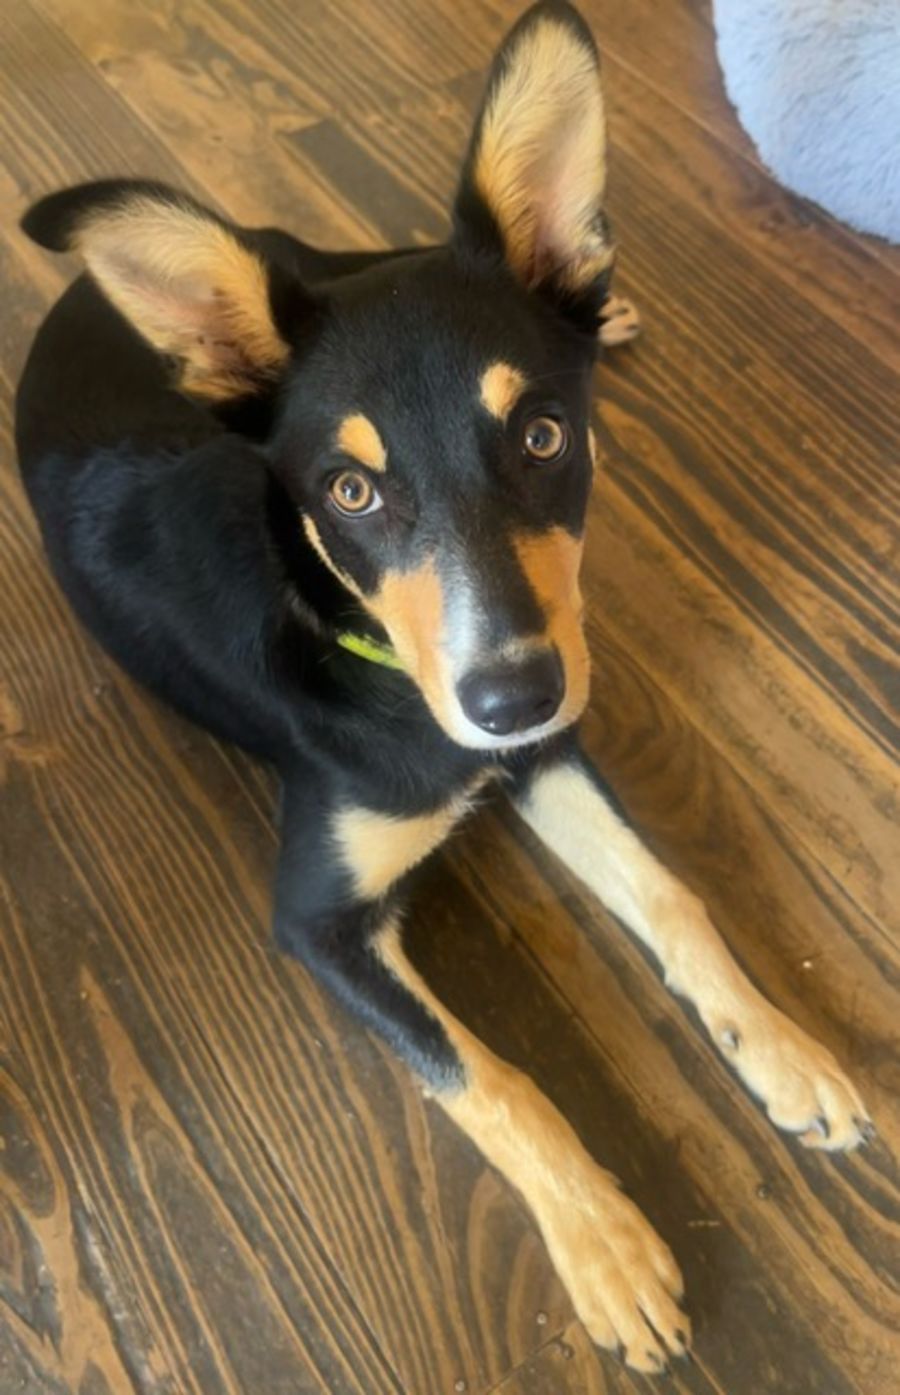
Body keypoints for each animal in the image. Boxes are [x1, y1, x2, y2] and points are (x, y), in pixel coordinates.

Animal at [15, 1, 872, 1374]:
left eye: (544, 436)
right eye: (351, 491)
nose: (511, 698)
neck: (354, 635)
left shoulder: (552, 748)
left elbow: (674, 899)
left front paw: (782, 1052)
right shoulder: (318, 920)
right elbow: (489, 1079)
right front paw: (604, 1246)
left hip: (316, 257)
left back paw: (601, 302)